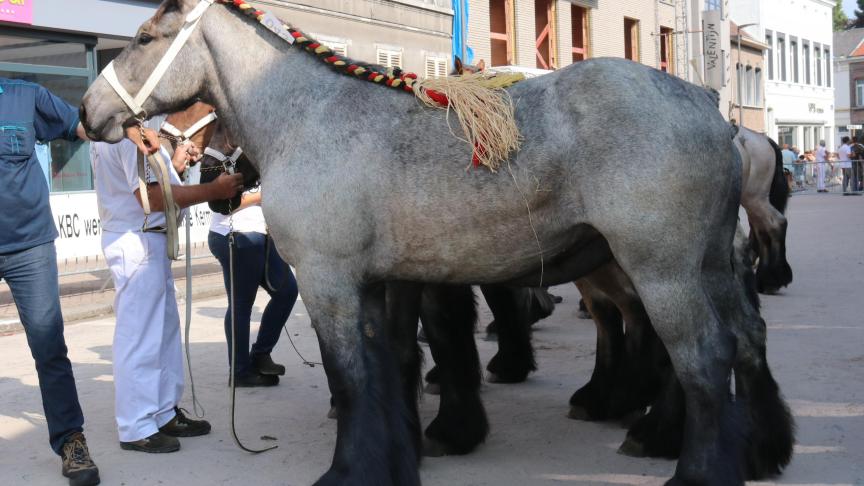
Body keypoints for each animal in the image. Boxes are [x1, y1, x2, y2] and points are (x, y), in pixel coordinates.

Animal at [81, 1, 788, 484]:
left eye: (144, 38)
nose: (90, 113)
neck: (312, 117)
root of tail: (705, 104)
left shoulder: (329, 283)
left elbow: (353, 378)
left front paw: (352, 471)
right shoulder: (382, 283)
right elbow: (389, 369)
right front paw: (398, 458)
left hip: (662, 271)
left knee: (702, 356)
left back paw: (691, 463)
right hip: (709, 265)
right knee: (747, 340)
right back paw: (760, 449)